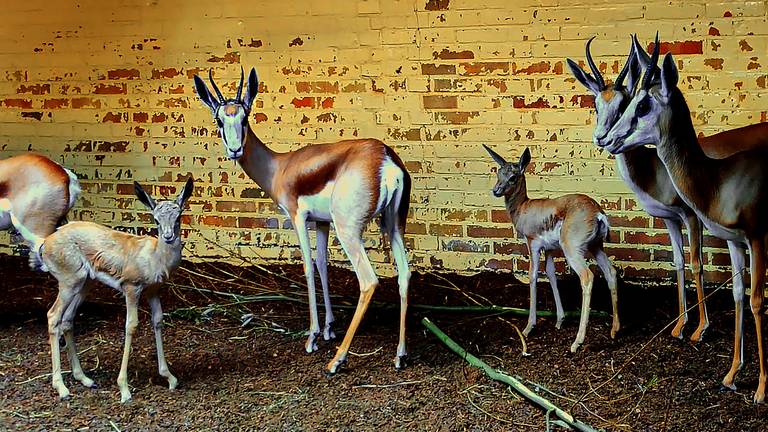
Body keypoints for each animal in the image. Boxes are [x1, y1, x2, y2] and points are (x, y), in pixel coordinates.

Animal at [1, 177, 194, 404]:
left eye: (178, 216)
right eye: (155, 219)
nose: (169, 236)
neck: (154, 256)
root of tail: (45, 242)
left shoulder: (153, 291)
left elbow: (158, 321)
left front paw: (170, 378)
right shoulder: (131, 289)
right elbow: (131, 326)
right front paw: (124, 389)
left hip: (84, 285)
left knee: (67, 319)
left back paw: (84, 378)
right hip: (69, 284)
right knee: (53, 316)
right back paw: (62, 388)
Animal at [192, 68, 412, 374]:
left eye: (245, 117)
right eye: (219, 119)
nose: (235, 150)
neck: (280, 167)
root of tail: (385, 158)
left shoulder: (297, 217)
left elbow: (307, 267)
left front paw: (313, 337)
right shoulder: (322, 222)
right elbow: (322, 264)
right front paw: (329, 328)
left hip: (349, 231)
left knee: (368, 281)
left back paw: (336, 361)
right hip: (393, 225)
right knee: (404, 274)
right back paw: (400, 355)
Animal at [484, 145, 620, 352]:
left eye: (513, 177)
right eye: (498, 172)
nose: (496, 190)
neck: (524, 208)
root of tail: (597, 212)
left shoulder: (533, 244)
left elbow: (533, 275)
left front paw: (529, 327)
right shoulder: (549, 249)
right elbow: (551, 275)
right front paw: (559, 320)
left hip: (573, 250)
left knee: (587, 277)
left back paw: (577, 342)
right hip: (596, 247)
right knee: (610, 272)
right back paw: (614, 330)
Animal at [564, 36, 768, 340]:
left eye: (627, 104)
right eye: (595, 103)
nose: (603, 138)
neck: (655, 169)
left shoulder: (691, 216)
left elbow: (696, 263)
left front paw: (701, 329)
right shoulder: (669, 219)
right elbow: (679, 262)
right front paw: (680, 326)